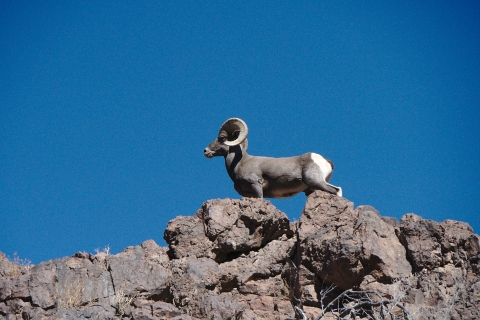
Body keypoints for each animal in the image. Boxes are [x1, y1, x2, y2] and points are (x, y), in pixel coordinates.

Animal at [204, 117, 344, 198]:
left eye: (222, 138)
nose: (205, 151)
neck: (239, 163)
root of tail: (325, 161)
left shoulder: (256, 184)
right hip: (311, 188)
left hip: (315, 181)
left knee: (336, 190)